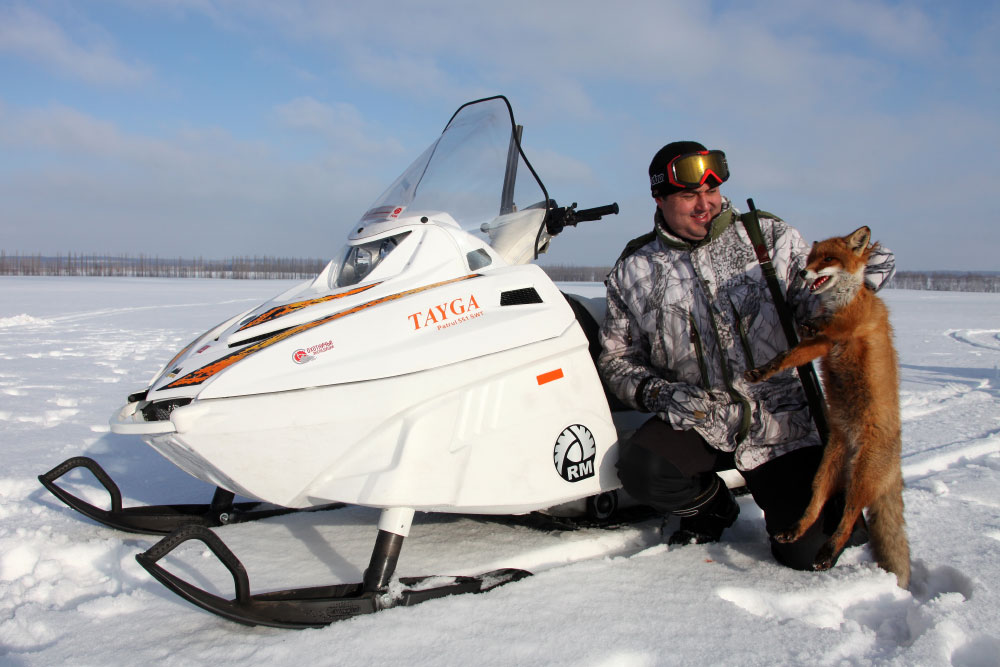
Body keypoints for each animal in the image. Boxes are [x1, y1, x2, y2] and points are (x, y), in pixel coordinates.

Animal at [748, 228, 912, 588]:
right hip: (824, 473)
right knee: (815, 508)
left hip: (860, 480)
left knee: (848, 519)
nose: (801, 272)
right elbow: (785, 357)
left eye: (828, 259)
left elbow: (811, 338)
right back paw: (794, 532)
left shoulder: (840, 331)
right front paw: (761, 371)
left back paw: (827, 553)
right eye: (810, 259)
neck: (842, 302)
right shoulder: (821, 342)